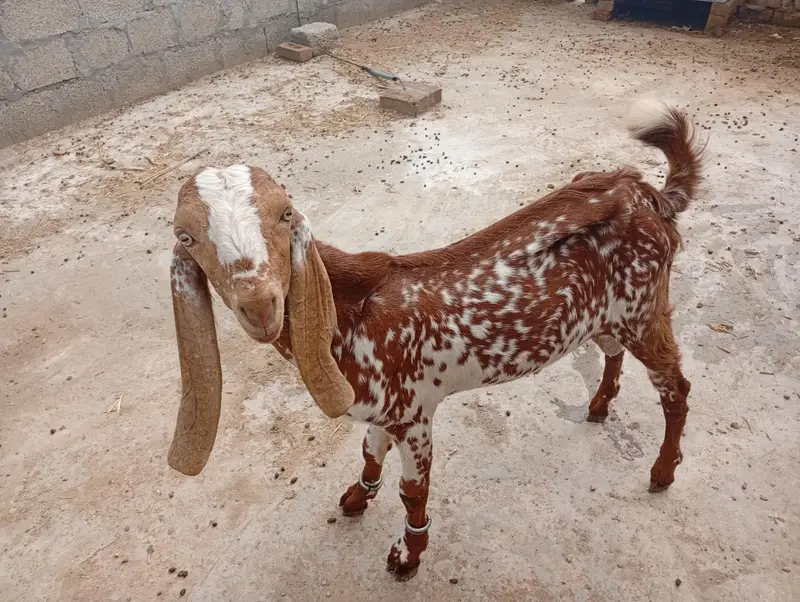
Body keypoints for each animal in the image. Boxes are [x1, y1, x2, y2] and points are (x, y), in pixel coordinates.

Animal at [166, 98, 706, 580]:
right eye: (186, 237)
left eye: (284, 214)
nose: (260, 305)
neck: (350, 311)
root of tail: (648, 195)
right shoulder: (385, 410)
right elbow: (369, 452)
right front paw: (357, 497)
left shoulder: (414, 414)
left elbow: (413, 493)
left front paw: (407, 557)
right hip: (607, 317)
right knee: (613, 354)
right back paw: (597, 407)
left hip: (644, 310)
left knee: (676, 388)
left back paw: (662, 473)